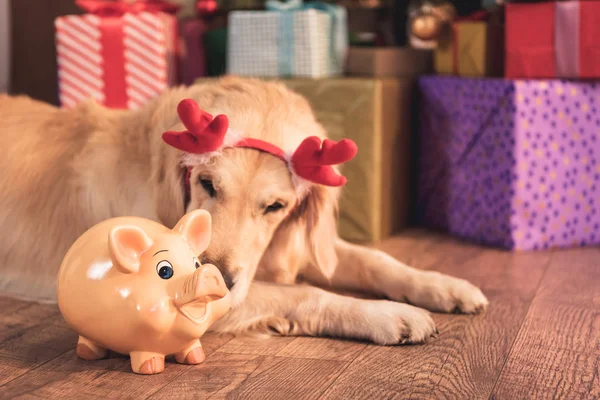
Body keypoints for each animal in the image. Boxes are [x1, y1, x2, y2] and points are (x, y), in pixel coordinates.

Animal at [0, 77, 488, 344]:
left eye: (275, 206)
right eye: (206, 184)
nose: (212, 275)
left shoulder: (293, 245)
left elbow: (376, 259)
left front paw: (444, 286)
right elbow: (304, 293)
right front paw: (386, 314)